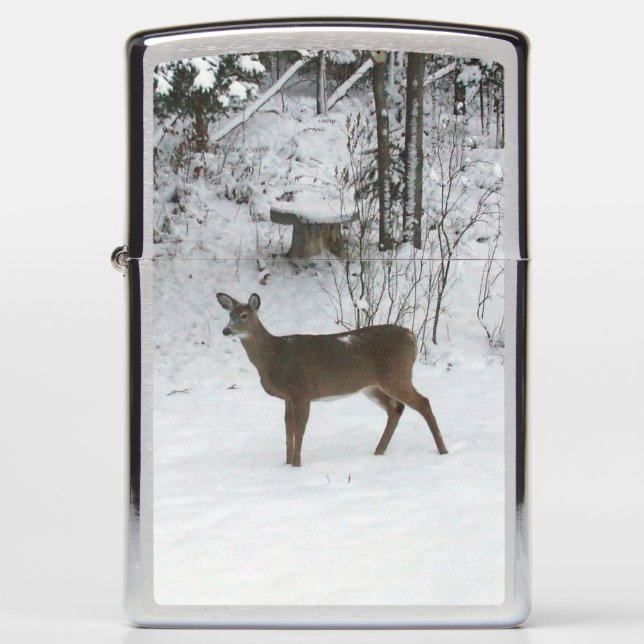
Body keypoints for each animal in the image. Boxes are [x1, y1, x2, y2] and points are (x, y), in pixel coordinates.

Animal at [216, 292, 448, 467]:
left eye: (244, 315)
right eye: (229, 314)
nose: (226, 330)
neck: (274, 355)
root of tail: (412, 337)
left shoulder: (302, 390)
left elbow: (299, 429)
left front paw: (296, 466)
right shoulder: (288, 397)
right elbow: (287, 429)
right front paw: (287, 464)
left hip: (396, 374)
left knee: (423, 402)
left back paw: (442, 451)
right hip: (372, 386)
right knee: (396, 409)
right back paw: (378, 452)